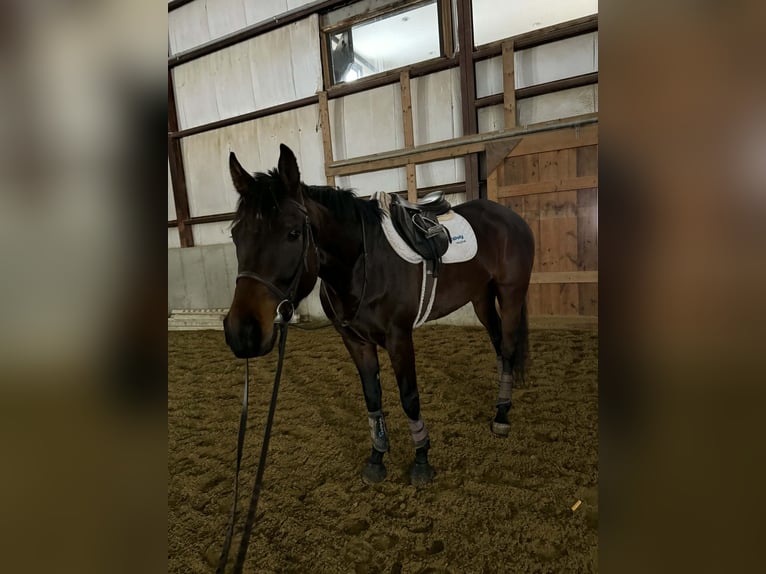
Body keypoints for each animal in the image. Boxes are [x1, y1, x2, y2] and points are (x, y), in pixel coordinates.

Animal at [223, 144, 534, 485]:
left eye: (292, 233)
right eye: (236, 235)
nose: (243, 332)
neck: (362, 264)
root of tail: (509, 216)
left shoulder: (399, 337)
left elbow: (409, 397)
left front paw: (421, 460)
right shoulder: (356, 341)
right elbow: (372, 397)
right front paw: (377, 457)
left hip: (511, 294)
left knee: (507, 347)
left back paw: (501, 414)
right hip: (481, 298)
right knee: (499, 345)